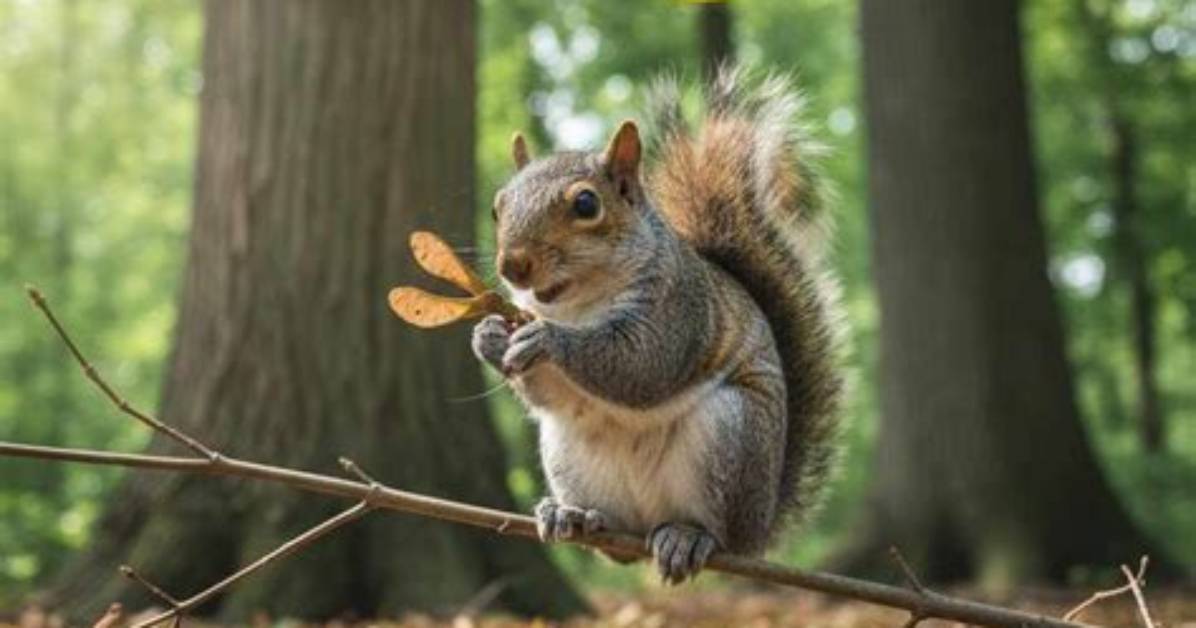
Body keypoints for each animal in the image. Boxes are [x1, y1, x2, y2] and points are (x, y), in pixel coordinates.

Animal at [471, 67, 842, 584]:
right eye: (497, 206)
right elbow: (547, 394)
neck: (578, 305)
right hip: (567, 452)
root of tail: (761, 528)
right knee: (615, 546)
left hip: (731, 435)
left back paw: (689, 537)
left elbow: (641, 366)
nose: (513, 265)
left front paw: (549, 339)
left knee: (717, 532)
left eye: (586, 205)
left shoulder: (678, 309)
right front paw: (487, 336)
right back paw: (573, 515)